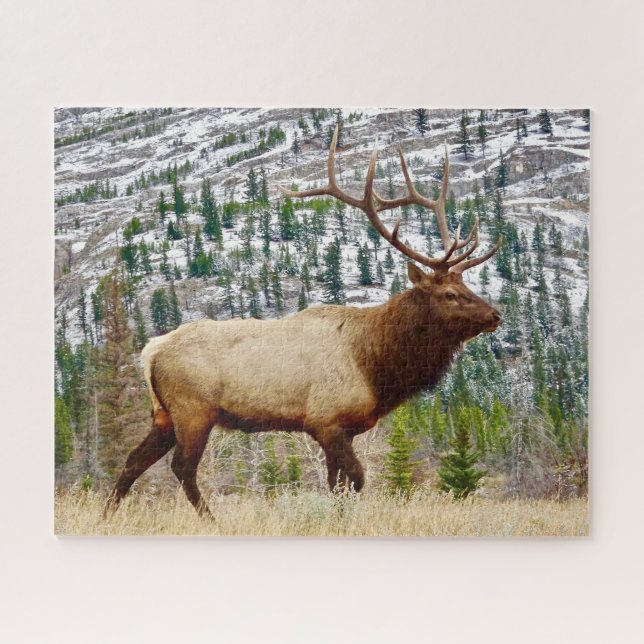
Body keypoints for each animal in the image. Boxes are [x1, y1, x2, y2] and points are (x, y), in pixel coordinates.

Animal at [107, 126, 502, 518]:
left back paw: (108, 513)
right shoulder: (324, 421)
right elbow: (356, 479)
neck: (375, 365)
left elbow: (338, 485)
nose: (495, 315)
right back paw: (211, 520)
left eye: (466, 284)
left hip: (163, 416)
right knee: (182, 468)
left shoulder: (344, 428)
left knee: (132, 461)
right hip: (194, 410)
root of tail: (150, 351)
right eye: (448, 294)